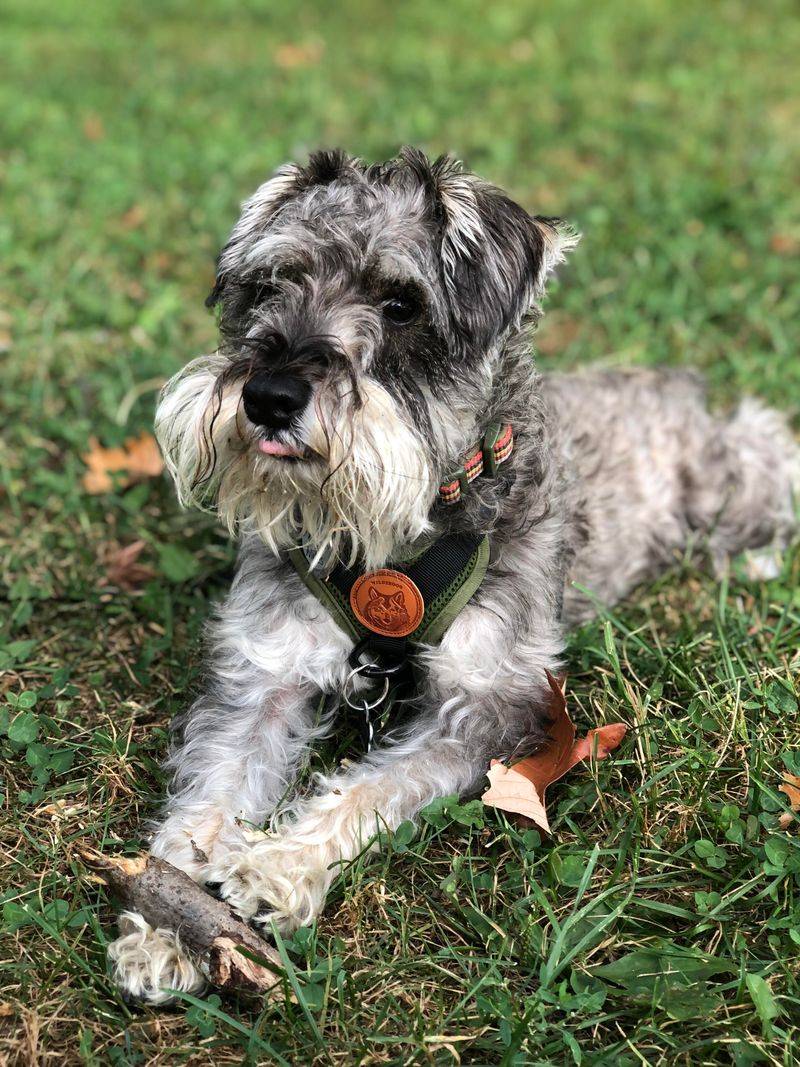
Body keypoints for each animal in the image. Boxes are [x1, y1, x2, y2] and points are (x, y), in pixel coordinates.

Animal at [108, 148, 800, 998]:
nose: (268, 396)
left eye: (401, 303)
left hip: (727, 474)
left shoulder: (486, 709)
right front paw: (168, 920)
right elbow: (212, 789)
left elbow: (371, 787)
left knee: (766, 440)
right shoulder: (263, 676)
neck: (391, 534)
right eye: (268, 284)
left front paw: (275, 865)